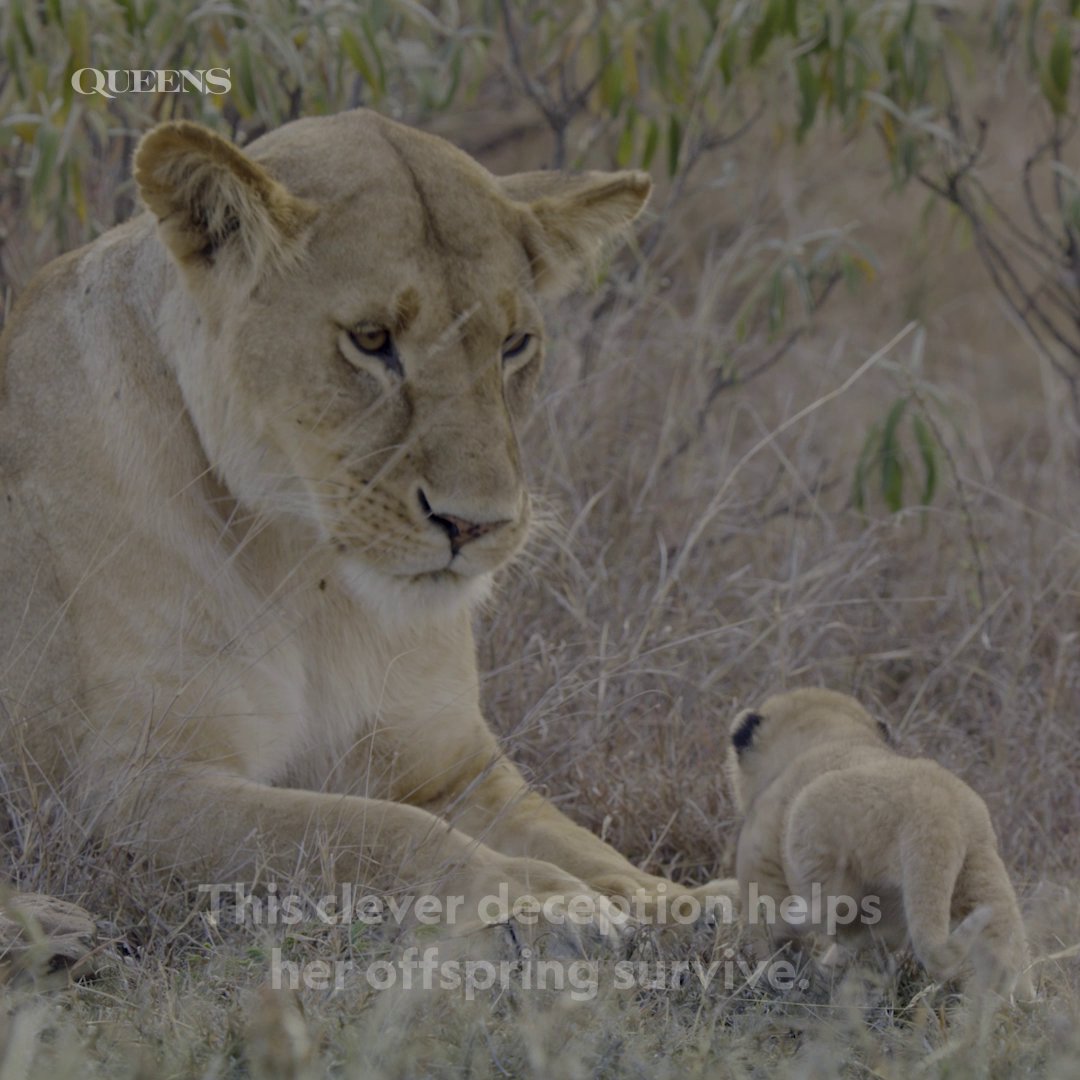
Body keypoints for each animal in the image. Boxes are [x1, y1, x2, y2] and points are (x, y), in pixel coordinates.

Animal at [0, 109, 731, 954]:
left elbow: (579, 840)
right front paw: (540, 899)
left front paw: (688, 902)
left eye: (514, 345)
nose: (475, 523)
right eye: (372, 339)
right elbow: (370, 831)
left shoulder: (455, 765)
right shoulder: (121, 792)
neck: (310, 575)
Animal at [727, 688, 1035, 1002]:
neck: (830, 733)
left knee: (833, 905)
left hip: (815, 824)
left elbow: (767, 929)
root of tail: (939, 813)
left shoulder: (760, 860)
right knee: (1006, 947)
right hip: (980, 872)